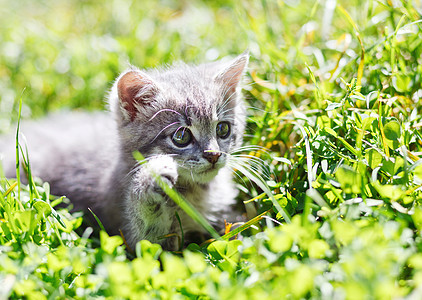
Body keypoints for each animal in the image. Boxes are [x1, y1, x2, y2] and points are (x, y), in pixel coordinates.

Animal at [0, 52, 249, 250]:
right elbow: (148, 236)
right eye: (181, 136)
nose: (213, 154)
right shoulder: (131, 233)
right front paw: (150, 178)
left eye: (223, 129)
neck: (198, 193)